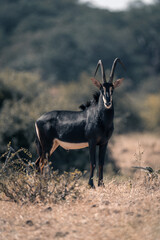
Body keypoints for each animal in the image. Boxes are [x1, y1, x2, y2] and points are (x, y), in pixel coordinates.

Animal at [35, 58, 125, 188]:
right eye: (101, 89)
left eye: (112, 89)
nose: (107, 103)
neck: (101, 119)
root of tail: (38, 120)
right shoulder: (92, 142)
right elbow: (92, 162)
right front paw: (91, 185)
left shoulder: (104, 143)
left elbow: (101, 163)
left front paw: (101, 184)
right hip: (47, 146)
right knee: (42, 163)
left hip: (52, 145)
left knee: (38, 164)